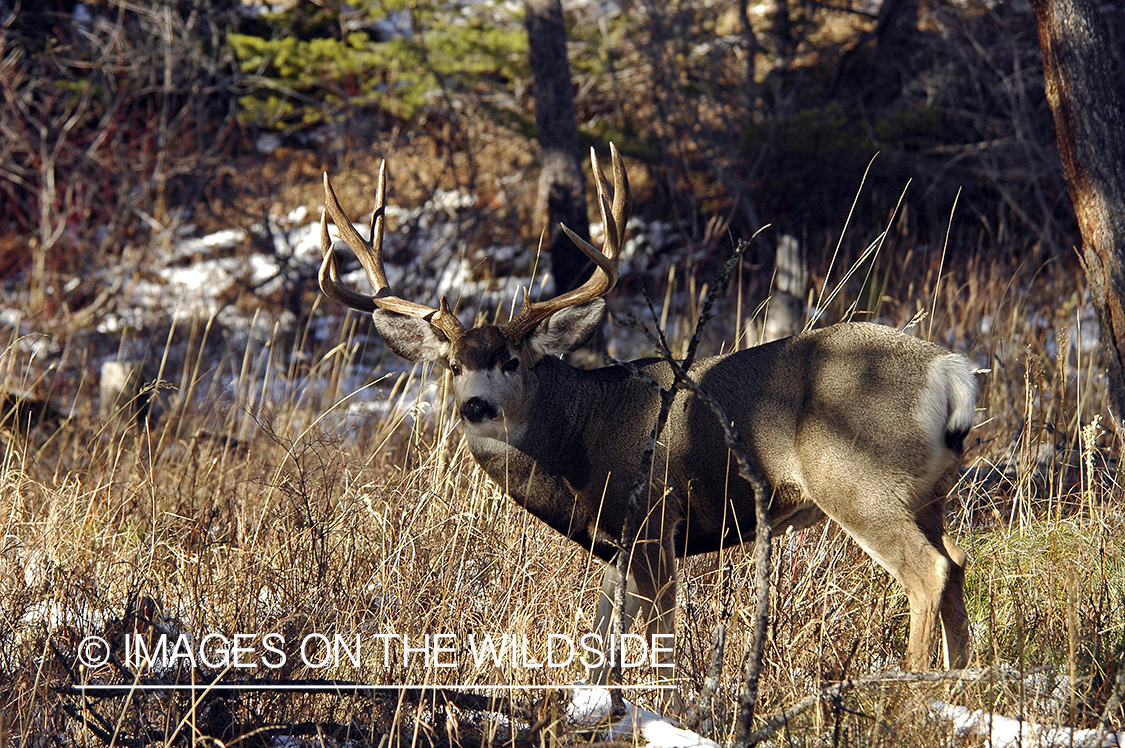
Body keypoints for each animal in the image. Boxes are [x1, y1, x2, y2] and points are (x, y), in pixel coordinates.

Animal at [316, 145, 976, 686]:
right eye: (452, 364)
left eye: (511, 360)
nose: (475, 405)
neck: (576, 441)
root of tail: (949, 370)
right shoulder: (616, 550)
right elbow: (601, 636)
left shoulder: (654, 521)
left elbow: (658, 640)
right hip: (929, 492)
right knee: (958, 562)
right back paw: (959, 684)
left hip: (858, 480)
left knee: (928, 572)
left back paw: (910, 690)